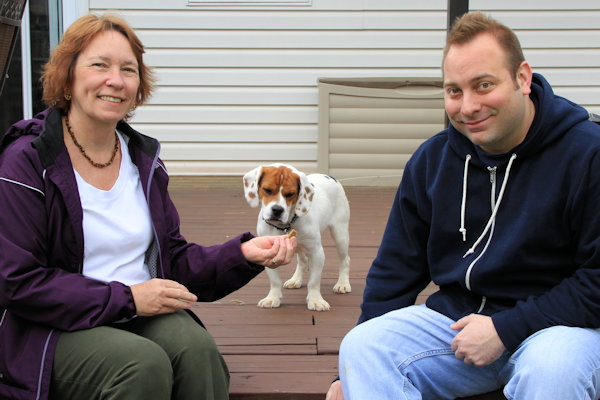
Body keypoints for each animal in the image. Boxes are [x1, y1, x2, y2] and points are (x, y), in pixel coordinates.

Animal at [241, 164, 350, 310]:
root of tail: (329, 176)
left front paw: (315, 300)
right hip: (299, 245)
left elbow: (314, 281)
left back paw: (343, 284)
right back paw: (295, 279)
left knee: (345, 260)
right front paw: (273, 298)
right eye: (267, 190)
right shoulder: (269, 251)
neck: (285, 226)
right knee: (302, 261)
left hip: (340, 234)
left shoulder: (316, 252)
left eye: (290, 194)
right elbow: (275, 280)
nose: (277, 210)